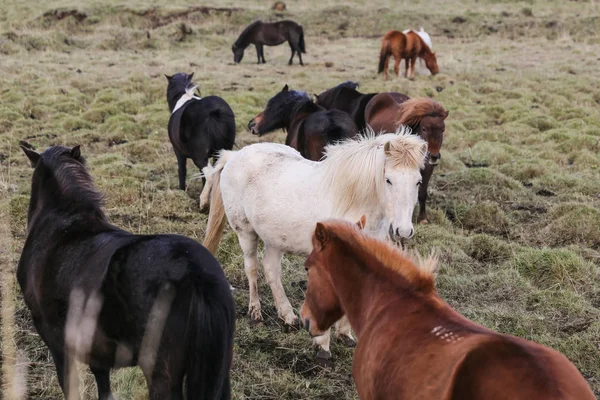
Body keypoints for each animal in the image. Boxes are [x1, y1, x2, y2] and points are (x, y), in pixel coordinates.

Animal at [18, 142, 236, 398]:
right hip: (219, 372)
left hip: (162, 377)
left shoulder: (56, 342)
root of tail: (196, 274)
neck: (64, 222)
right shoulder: (95, 350)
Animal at [200, 127, 426, 356]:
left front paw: (345, 335)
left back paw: (288, 317)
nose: (403, 231)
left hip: (275, 238)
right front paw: (323, 347)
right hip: (245, 232)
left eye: (418, 181)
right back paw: (255, 312)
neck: (352, 201)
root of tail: (234, 156)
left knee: (271, 269)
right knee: (252, 269)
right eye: (388, 180)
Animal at [364, 95, 448, 223]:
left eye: (442, 130)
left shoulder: (428, 168)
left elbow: (422, 193)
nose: (433, 156)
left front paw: (422, 218)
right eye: (424, 129)